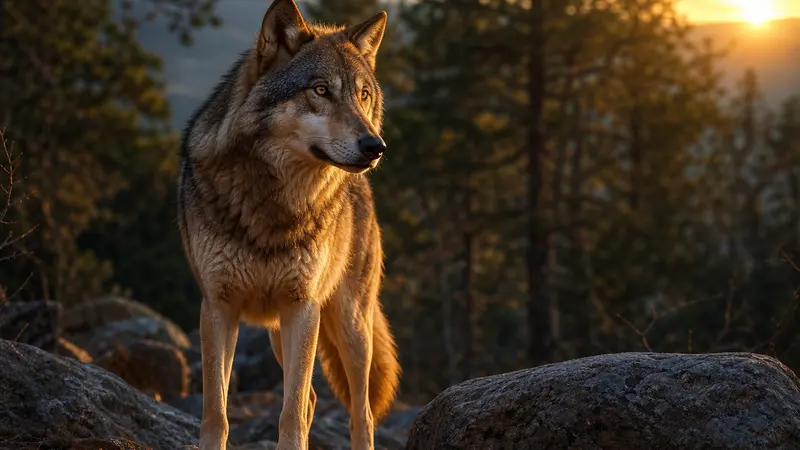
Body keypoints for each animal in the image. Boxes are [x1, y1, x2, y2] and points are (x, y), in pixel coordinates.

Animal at [176, 1, 401, 449]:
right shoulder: (218, 307)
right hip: (280, 332)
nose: (376, 147)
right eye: (321, 90)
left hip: (351, 327)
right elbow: (216, 413)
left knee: (361, 414)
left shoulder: (302, 308)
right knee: (313, 397)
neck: (274, 203)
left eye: (363, 95)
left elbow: (290, 414)